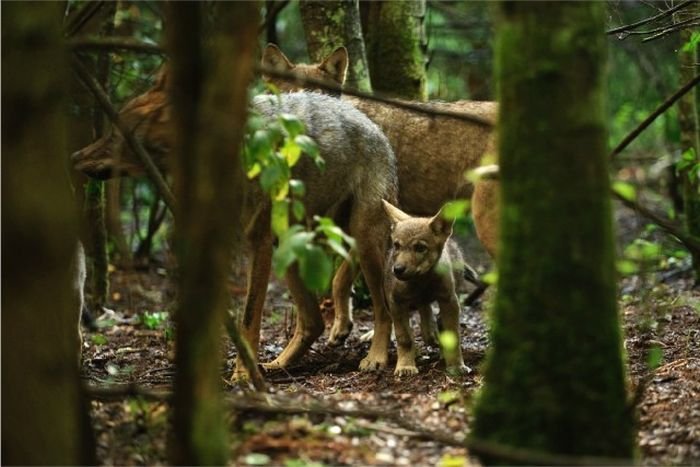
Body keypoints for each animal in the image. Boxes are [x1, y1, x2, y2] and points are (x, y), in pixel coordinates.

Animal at [72, 74, 400, 380]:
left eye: (117, 136)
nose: (74, 157)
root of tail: (377, 129)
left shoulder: (259, 242)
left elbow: (249, 319)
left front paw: (242, 376)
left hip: (362, 239)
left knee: (383, 310)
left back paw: (375, 358)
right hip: (292, 245)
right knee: (313, 322)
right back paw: (278, 364)